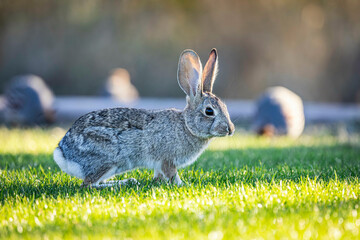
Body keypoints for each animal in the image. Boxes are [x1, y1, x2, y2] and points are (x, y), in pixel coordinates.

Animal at [52, 48, 233, 188]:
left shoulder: (160, 163)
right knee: (89, 184)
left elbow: (159, 175)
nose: (230, 129)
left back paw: (128, 181)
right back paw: (123, 183)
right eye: (209, 111)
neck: (187, 126)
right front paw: (183, 184)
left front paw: (158, 182)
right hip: (107, 161)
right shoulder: (167, 159)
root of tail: (63, 153)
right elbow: (172, 174)